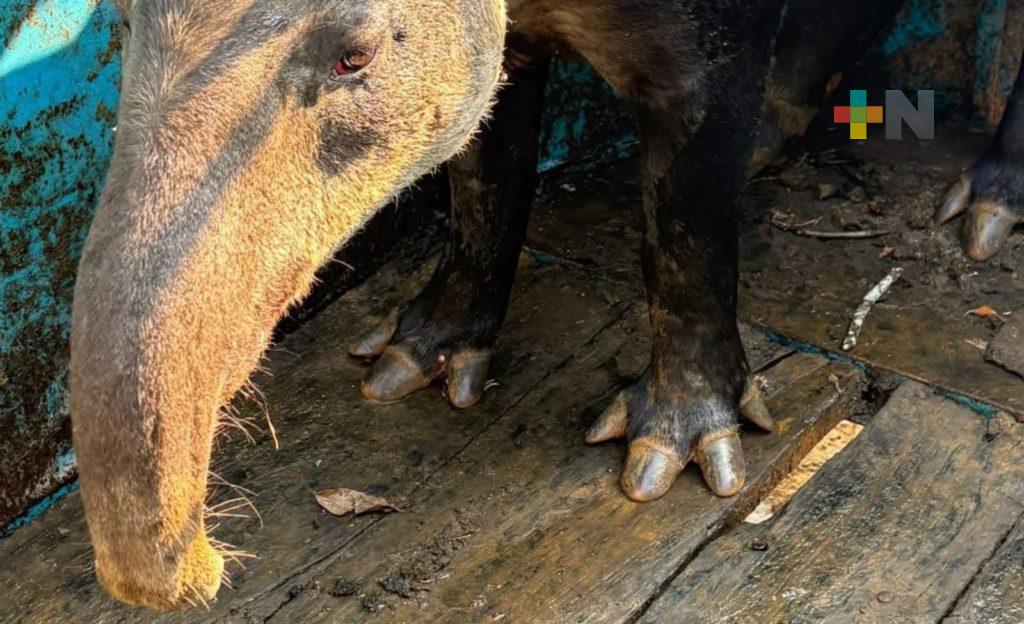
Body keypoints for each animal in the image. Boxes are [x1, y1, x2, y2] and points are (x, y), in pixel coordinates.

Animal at [70, 0, 1023, 610]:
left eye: (356, 53)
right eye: (123, 22)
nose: (201, 566)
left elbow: (688, 211)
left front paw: (669, 463)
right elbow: (485, 168)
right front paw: (403, 370)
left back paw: (984, 217)